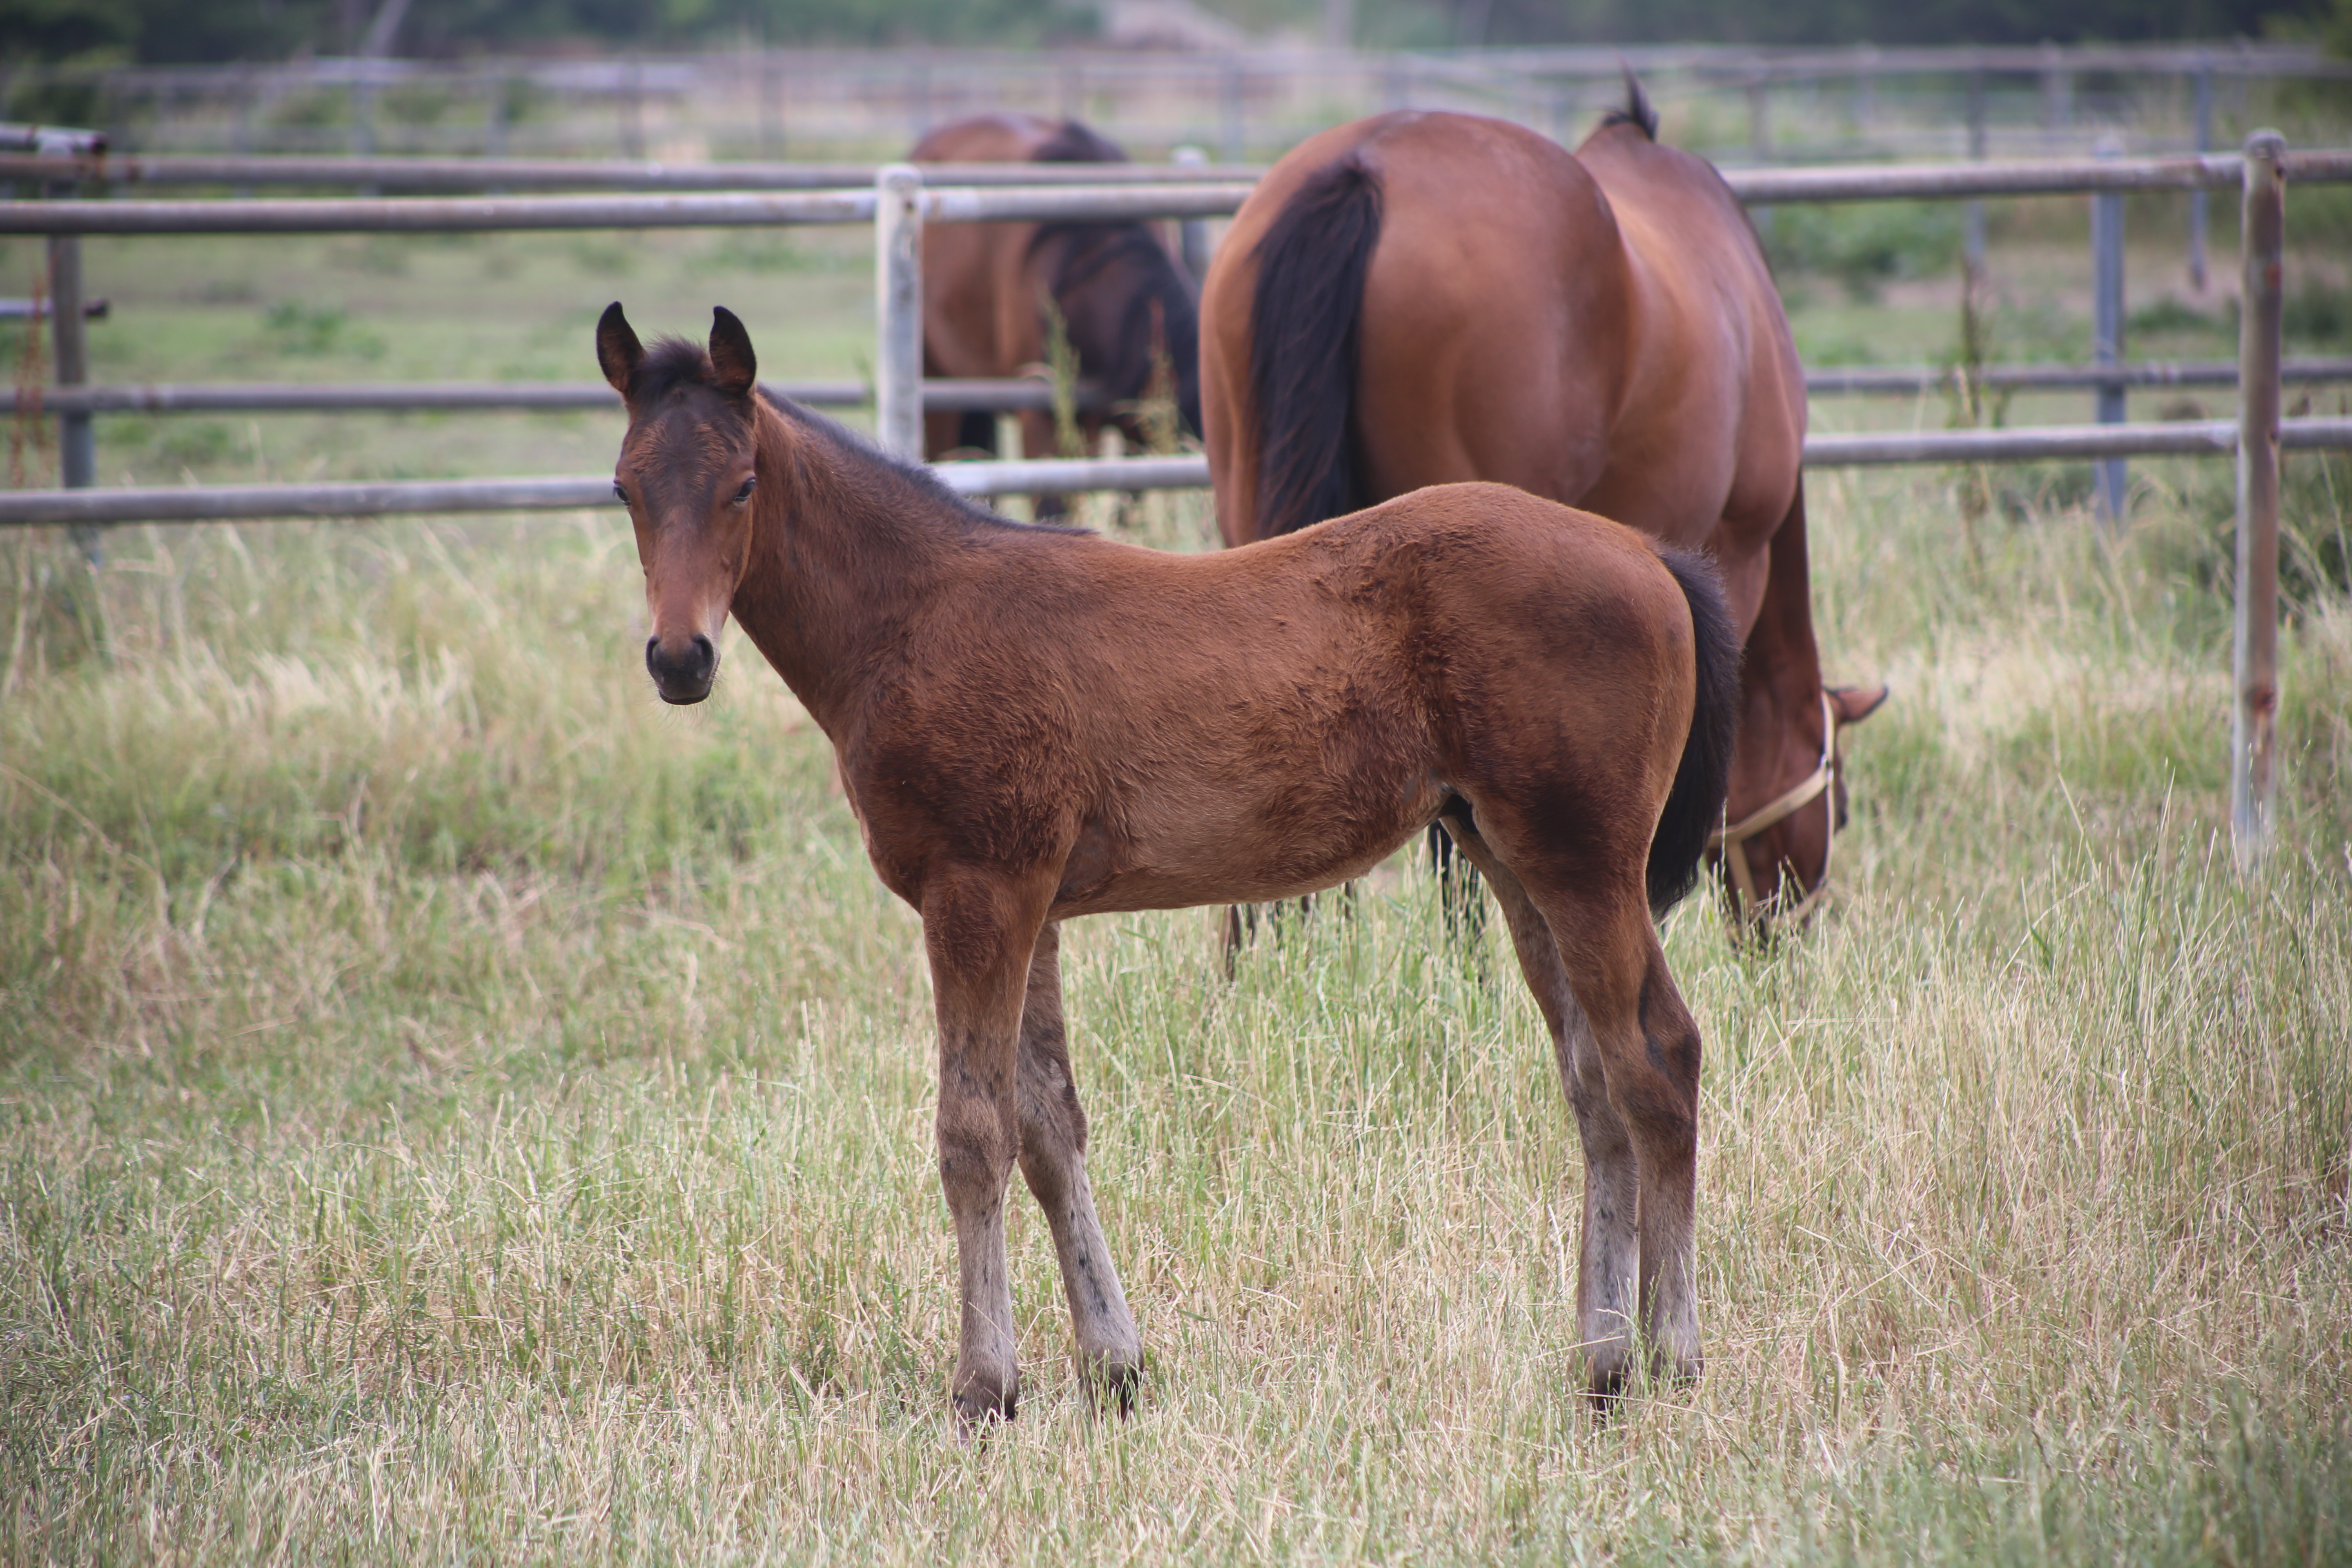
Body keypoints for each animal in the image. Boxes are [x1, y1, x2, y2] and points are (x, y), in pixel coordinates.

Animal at [602, 301, 1750, 1429]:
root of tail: (1649, 557)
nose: (679, 659)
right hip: (1511, 861)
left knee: (1658, 1060)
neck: (913, 615)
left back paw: (1675, 1354)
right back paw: (1604, 1363)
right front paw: (1113, 1368)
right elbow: (1049, 1127)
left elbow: (972, 1133)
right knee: (1593, 1079)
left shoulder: (975, 894)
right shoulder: (1031, 907)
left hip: (1587, 865)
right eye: (623, 489)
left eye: (743, 484)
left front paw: (984, 1387)